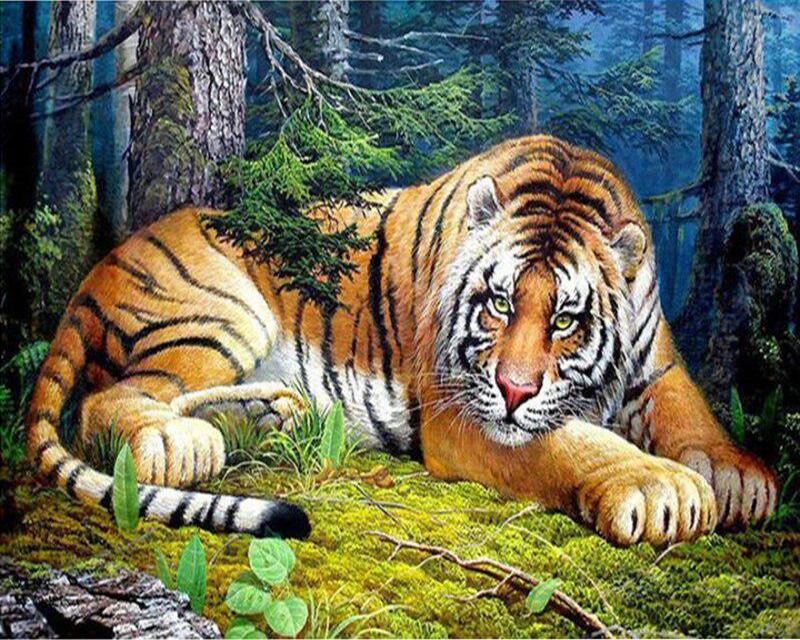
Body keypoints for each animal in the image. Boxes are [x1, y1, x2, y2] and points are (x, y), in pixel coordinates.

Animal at [26, 135, 777, 546]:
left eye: (566, 320)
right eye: (499, 304)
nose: (514, 389)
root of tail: (99, 267)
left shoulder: (658, 364)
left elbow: (690, 413)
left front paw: (741, 478)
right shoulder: (463, 411)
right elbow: (574, 441)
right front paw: (659, 487)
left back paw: (268, 415)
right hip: (220, 310)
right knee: (107, 401)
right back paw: (181, 443)